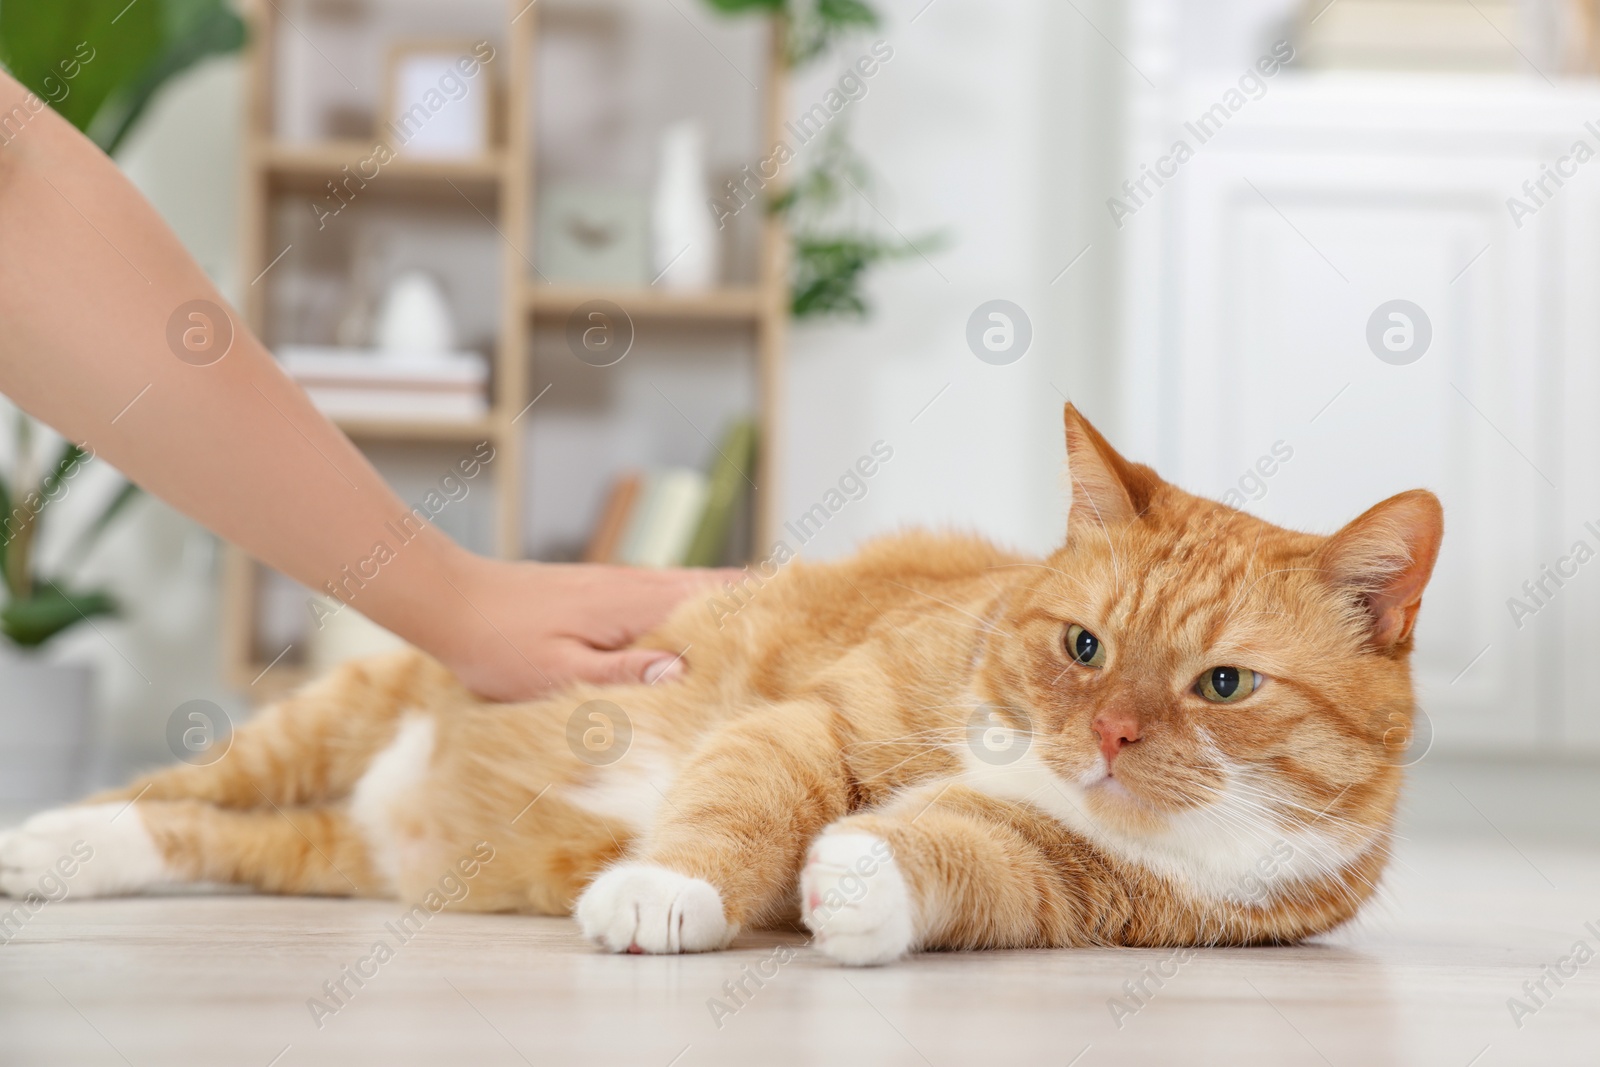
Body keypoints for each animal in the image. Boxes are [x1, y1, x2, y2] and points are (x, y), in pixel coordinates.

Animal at [0, 404, 1446, 966]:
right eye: (1084, 646)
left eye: (1223, 682)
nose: (1103, 734)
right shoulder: (822, 715)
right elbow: (752, 792)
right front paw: (670, 889)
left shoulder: (1089, 890)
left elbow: (979, 860)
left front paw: (861, 876)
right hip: (330, 718)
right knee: (175, 789)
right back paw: (48, 841)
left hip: (331, 849)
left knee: (208, 833)